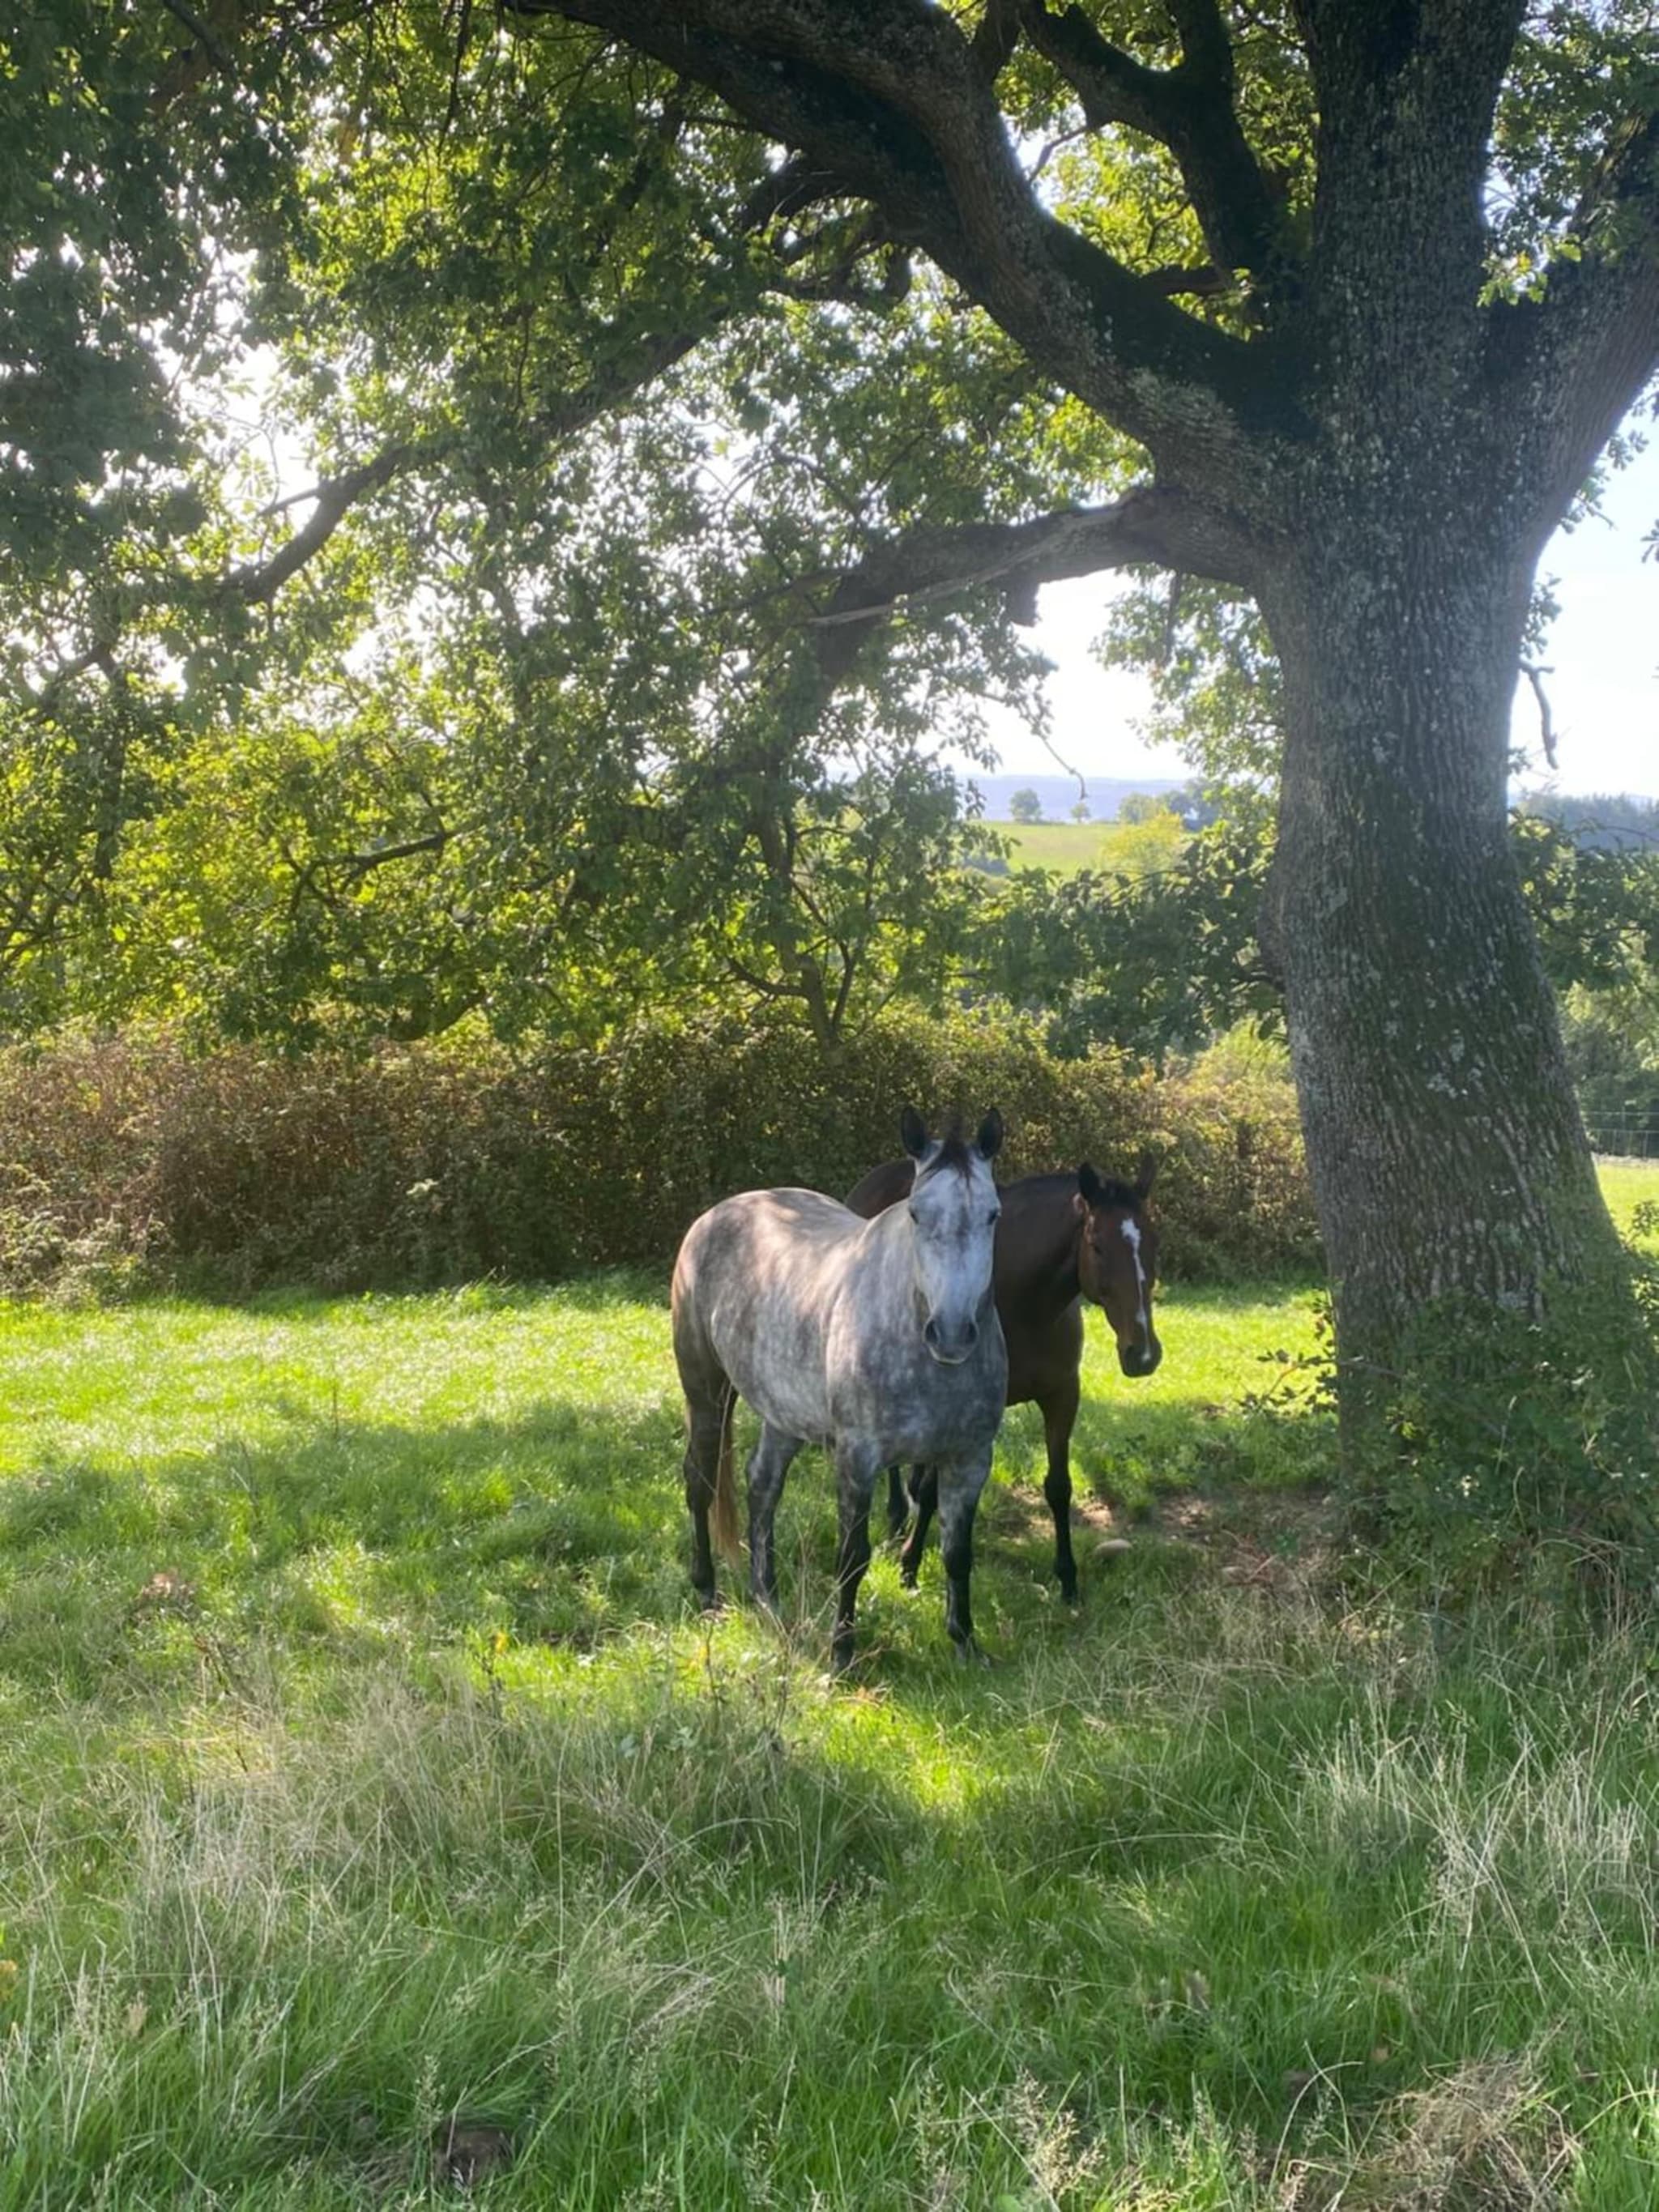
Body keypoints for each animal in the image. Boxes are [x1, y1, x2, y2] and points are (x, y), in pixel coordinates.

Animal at [672, 1108, 1008, 1671]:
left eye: (993, 1215)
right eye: (916, 1214)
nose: (952, 1333)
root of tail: (715, 1214)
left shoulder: (969, 1460)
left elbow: (957, 1553)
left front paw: (965, 1641)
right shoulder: (857, 1458)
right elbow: (853, 1556)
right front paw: (843, 1653)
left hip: (782, 1416)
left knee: (762, 1484)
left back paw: (767, 1595)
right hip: (706, 1393)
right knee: (700, 1482)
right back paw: (706, 1592)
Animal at [843, 1152, 1160, 1604]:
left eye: (1154, 1243)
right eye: (1097, 1245)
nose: (1143, 1353)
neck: (1025, 1304)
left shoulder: (1062, 1396)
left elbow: (1059, 1487)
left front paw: (1068, 1580)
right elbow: (935, 1493)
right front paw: (910, 1566)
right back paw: (897, 1515)